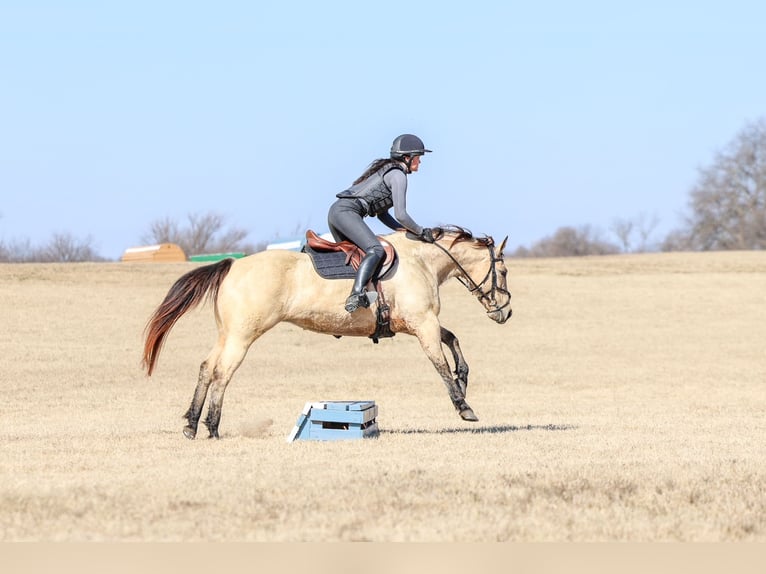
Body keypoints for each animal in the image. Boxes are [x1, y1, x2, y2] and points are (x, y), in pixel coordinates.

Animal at [142, 226, 512, 439]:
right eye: (505, 271)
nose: (505, 312)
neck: (422, 260)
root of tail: (233, 265)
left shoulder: (417, 323)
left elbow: (453, 341)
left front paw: (464, 377)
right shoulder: (424, 323)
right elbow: (441, 365)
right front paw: (464, 406)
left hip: (227, 334)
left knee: (207, 368)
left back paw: (191, 424)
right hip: (242, 336)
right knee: (222, 373)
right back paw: (213, 428)